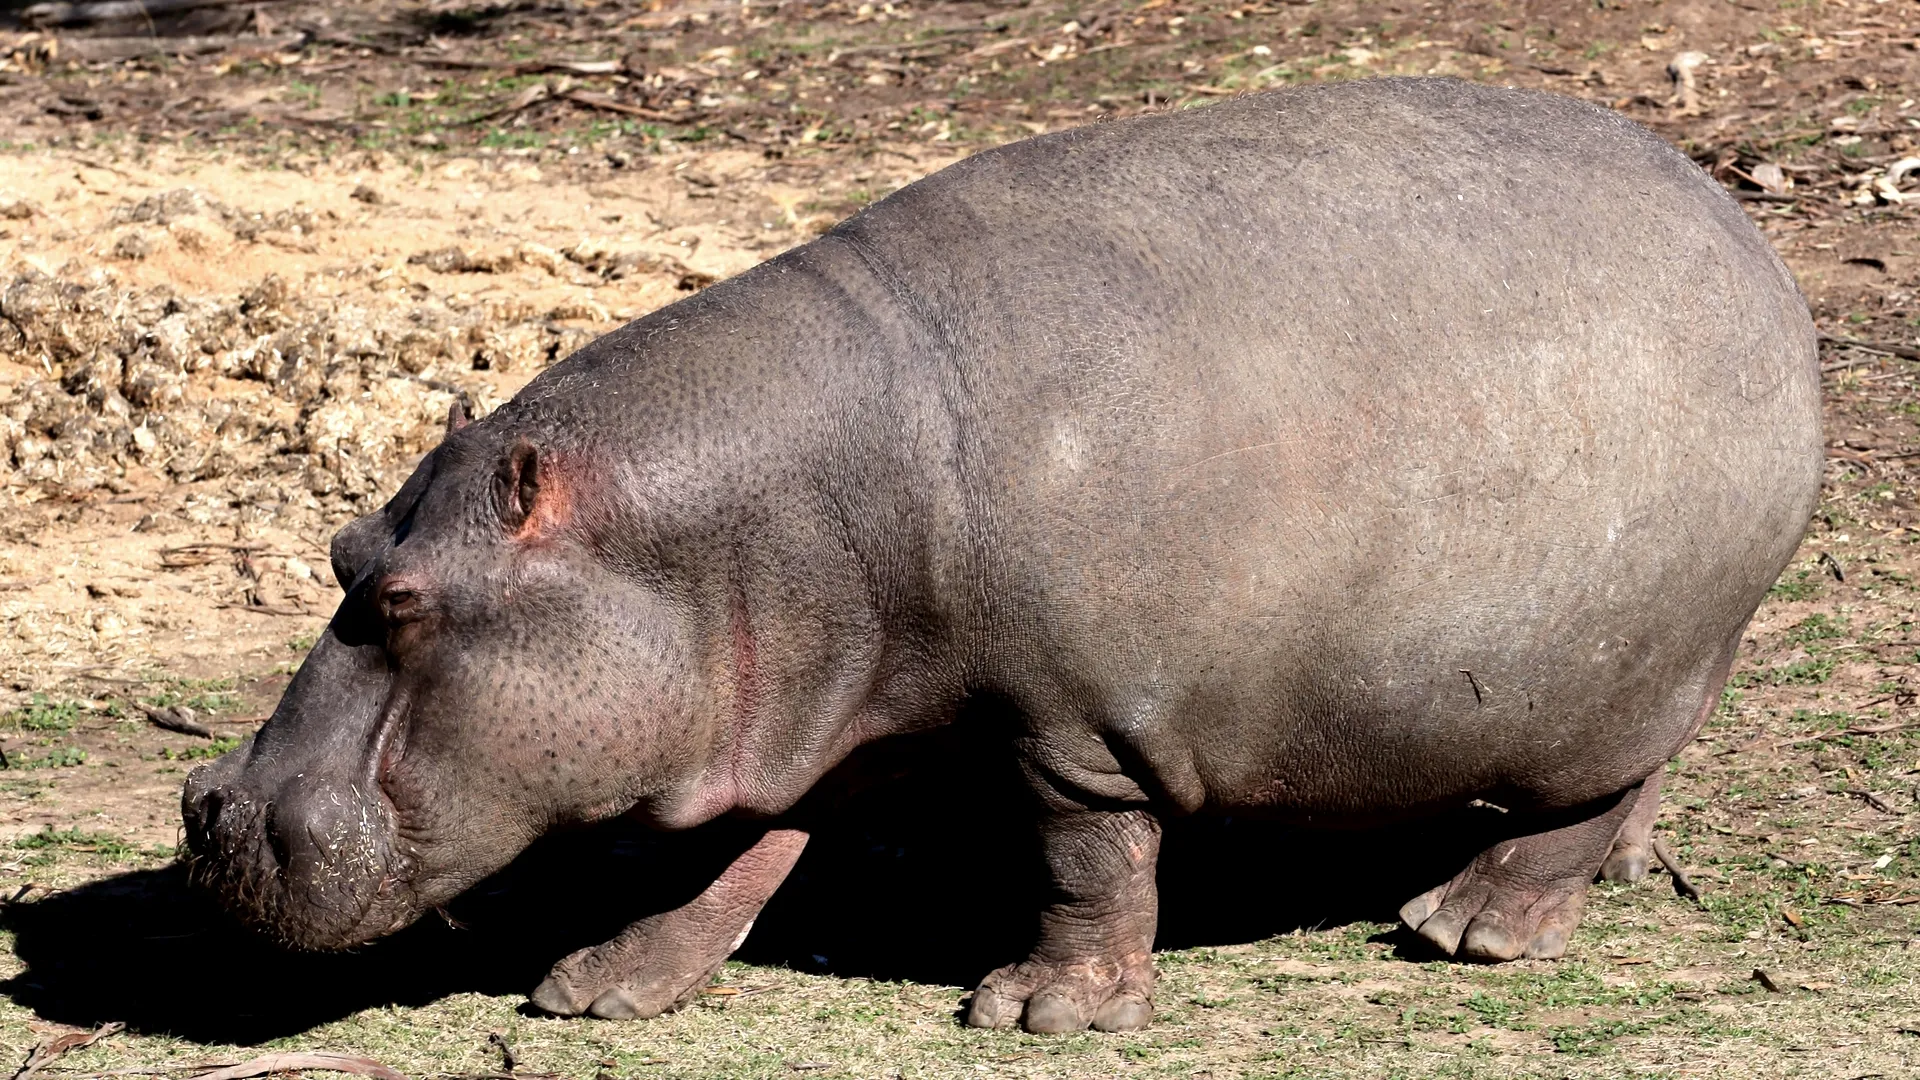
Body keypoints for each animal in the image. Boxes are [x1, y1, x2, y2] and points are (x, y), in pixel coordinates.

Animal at [182, 76, 1820, 1034]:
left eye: (404, 602)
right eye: (339, 545)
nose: (209, 813)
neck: (709, 538)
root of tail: (1743, 229)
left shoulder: (1069, 726)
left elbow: (1085, 861)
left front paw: (1040, 1014)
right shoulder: (792, 713)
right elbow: (729, 861)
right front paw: (596, 990)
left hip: (1629, 655)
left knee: (1583, 793)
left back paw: (1469, 929)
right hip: (1646, 652)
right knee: (1641, 776)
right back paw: (1608, 875)